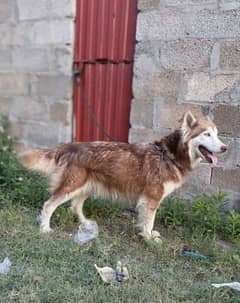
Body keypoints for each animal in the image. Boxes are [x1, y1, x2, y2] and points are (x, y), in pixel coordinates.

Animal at [20, 111, 227, 242]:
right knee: (49, 205)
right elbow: (149, 222)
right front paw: (148, 239)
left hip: (86, 186)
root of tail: (70, 146)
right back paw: (45, 229)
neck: (169, 155)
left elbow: (145, 221)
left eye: (217, 135)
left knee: (75, 205)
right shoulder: (151, 198)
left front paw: (146, 235)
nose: (225, 147)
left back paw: (86, 223)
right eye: (207, 134)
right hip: (72, 185)